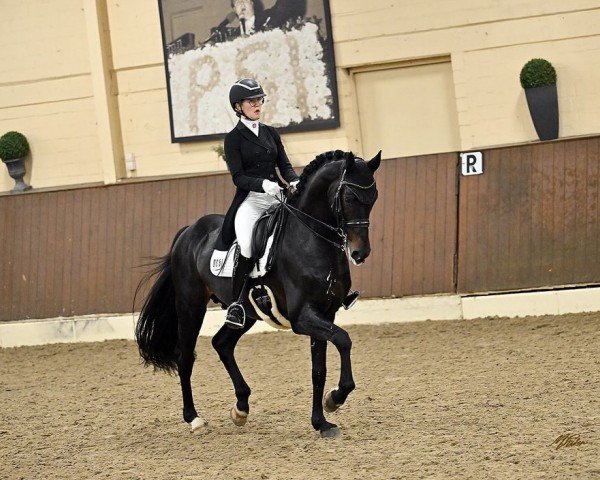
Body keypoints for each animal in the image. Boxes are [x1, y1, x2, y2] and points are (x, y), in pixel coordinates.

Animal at [136, 150, 380, 438]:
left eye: (374, 197)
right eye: (350, 197)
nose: (360, 253)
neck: (310, 239)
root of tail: (188, 231)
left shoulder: (324, 313)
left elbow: (318, 369)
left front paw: (322, 422)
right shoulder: (302, 318)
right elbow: (344, 340)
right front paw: (335, 398)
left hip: (246, 313)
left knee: (222, 343)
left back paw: (241, 408)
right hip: (190, 306)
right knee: (185, 356)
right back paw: (194, 419)